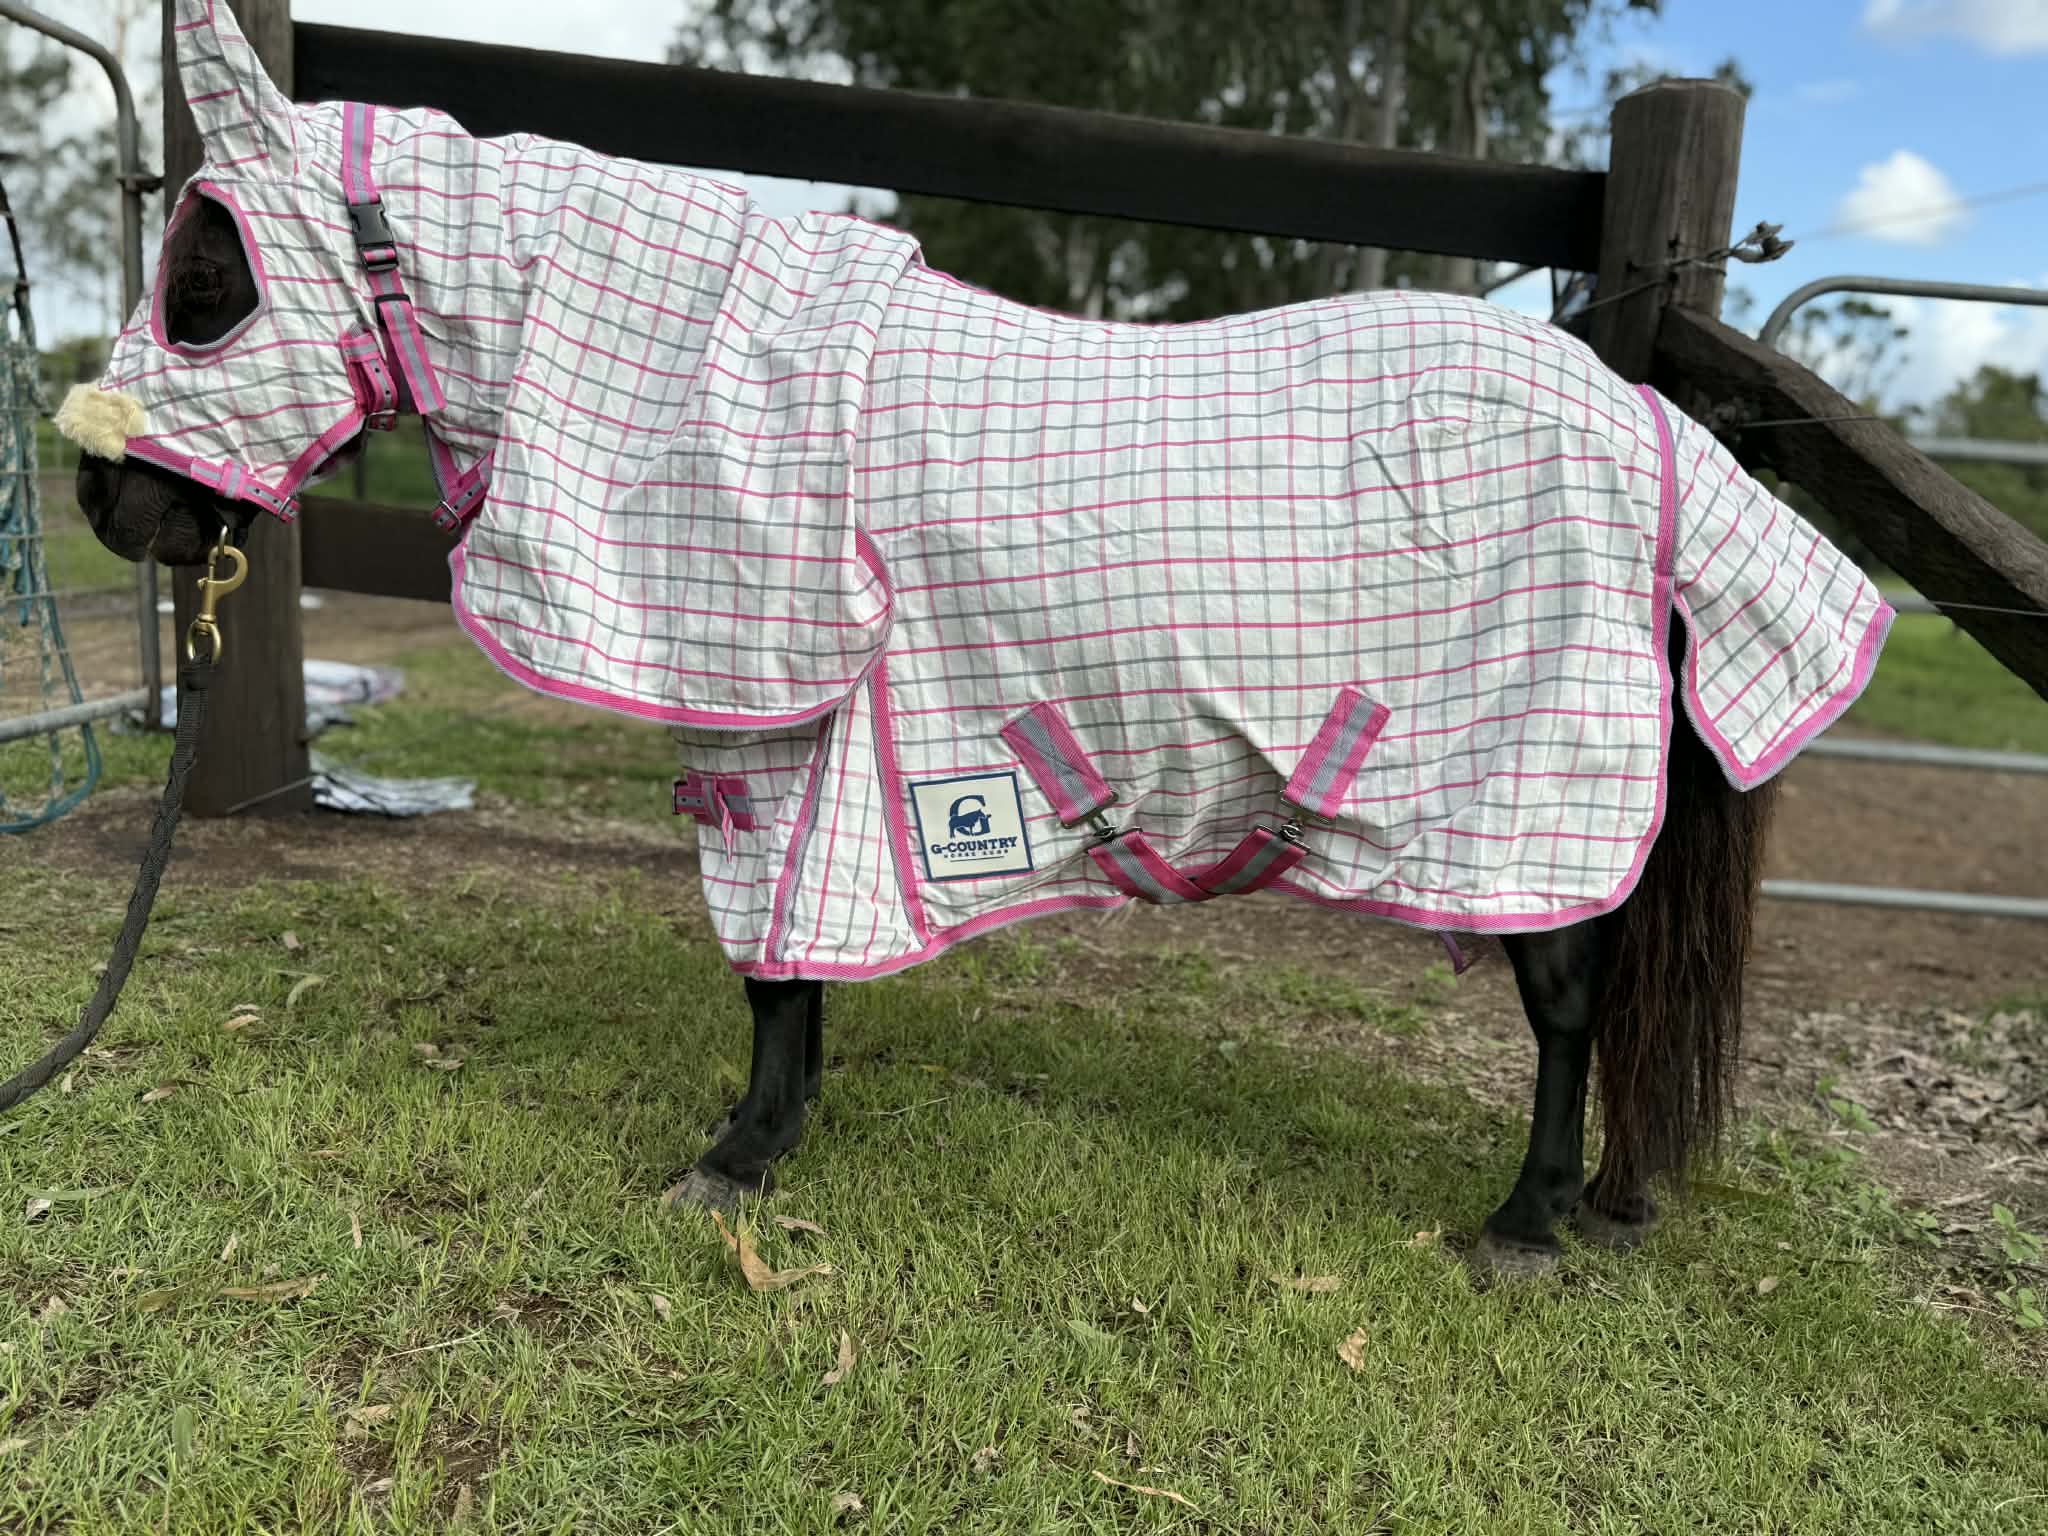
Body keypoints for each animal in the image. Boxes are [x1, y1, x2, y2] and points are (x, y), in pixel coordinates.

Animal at [64, 0, 1891, 1274]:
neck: (700, 387)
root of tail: (1642, 426)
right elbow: (791, 966)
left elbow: (772, 961)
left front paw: (736, 1158)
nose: (103, 500)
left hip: (1526, 800)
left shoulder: (783, 740)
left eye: (206, 283)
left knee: (1570, 999)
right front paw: (776, 1132)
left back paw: (1526, 1222)